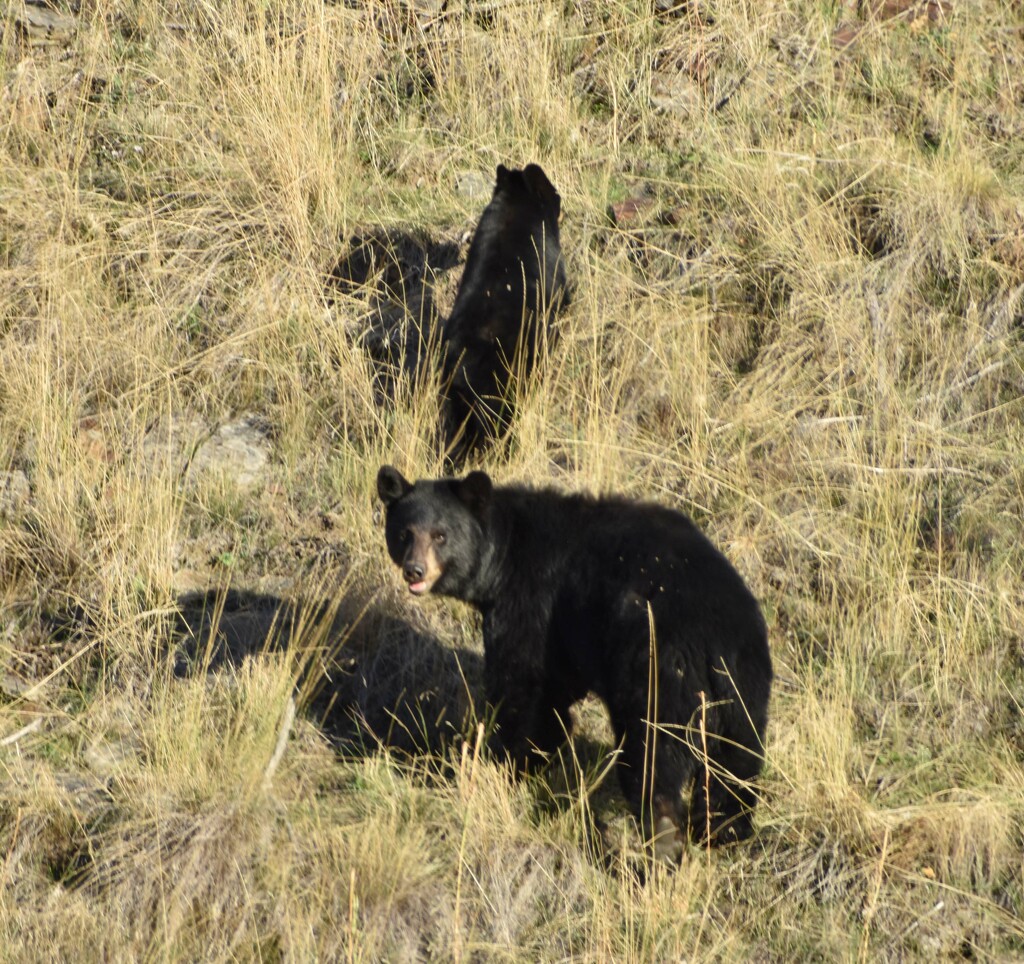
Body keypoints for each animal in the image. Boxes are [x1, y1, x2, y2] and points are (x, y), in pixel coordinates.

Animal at [380, 465, 770, 856]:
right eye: (404, 533)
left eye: (440, 535)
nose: (415, 570)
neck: (504, 556)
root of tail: (711, 642)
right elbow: (554, 693)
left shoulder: (532, 603)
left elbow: (522, 686)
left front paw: (508, 765)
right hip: (745, 688)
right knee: (736, 765)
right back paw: (723, 832)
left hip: (658, 674)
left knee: (652, 756)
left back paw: (663, 838)